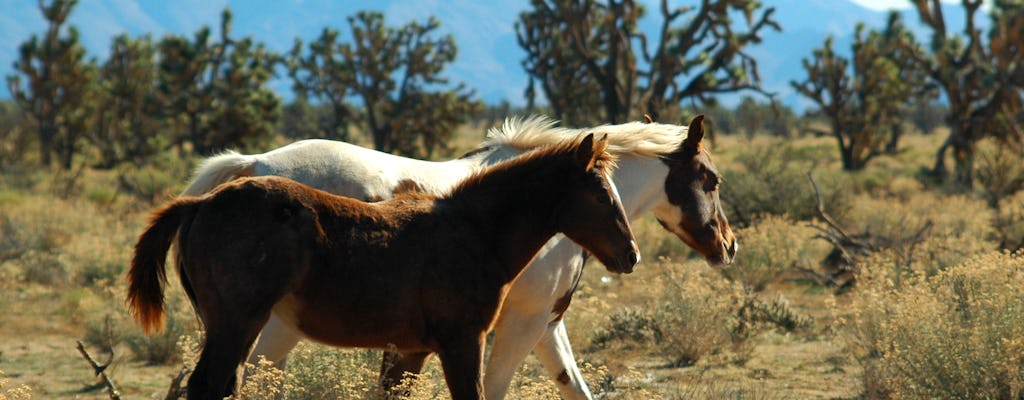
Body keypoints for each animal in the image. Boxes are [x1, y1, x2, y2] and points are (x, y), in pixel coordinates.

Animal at [125, 135, 638, 400]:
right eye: (600, 194)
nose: (630, 254)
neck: (473, 230)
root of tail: (200, 203)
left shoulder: (410, 351)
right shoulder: (463, 341)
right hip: (238, 322)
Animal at [178, 114, 737, 398]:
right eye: (710, 179)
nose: (728, 246)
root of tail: (253, 165)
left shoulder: (545, 324)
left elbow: (573, 386)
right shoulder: (522, 322)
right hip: (271, 327)